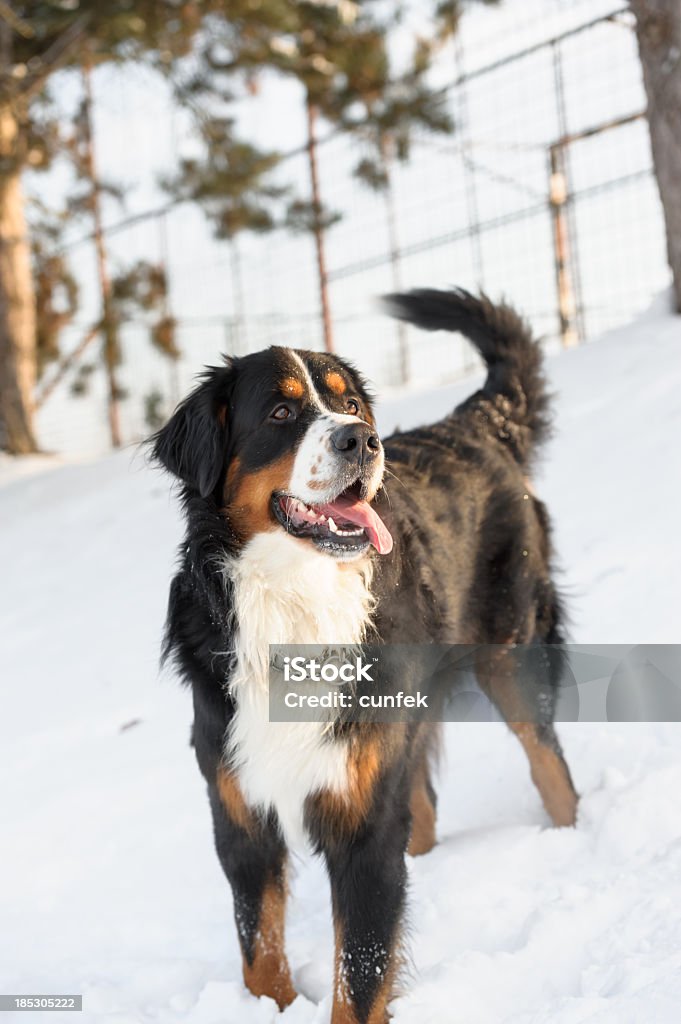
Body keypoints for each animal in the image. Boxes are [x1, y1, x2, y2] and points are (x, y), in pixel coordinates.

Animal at [151, 288, 577, 1024]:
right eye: (281, 412)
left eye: (349, 403)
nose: (361, 439)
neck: (294, 598)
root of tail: (472, 425)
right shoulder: (240, 817)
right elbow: (260, 955)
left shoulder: (361, 827)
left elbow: (360, 971)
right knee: (425, 805)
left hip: (511, 660)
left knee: (552, 772)